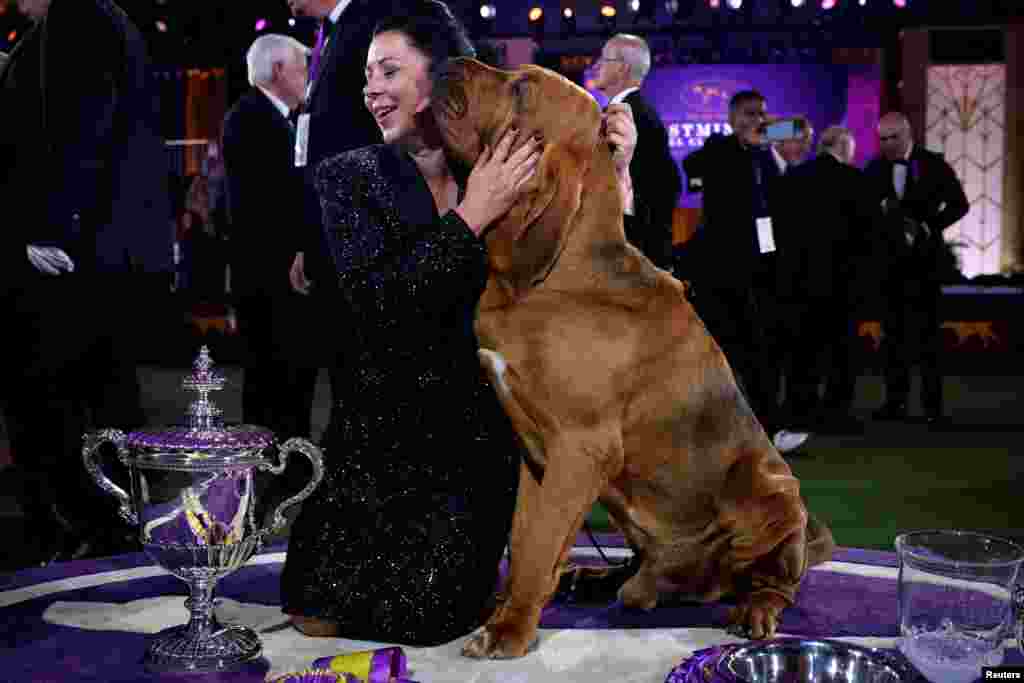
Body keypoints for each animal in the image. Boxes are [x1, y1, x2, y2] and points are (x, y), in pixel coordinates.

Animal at [432, 60, 831, 663]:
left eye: (520, 88)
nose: (446, 63)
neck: (560, 273)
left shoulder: (580, 449)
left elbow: (538, 544)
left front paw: (508, 629)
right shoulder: (536, 455)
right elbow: (526, 539)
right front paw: (512, 611)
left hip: (779, 494)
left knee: (775, 581)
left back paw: (755, 607)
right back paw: (597, 578)